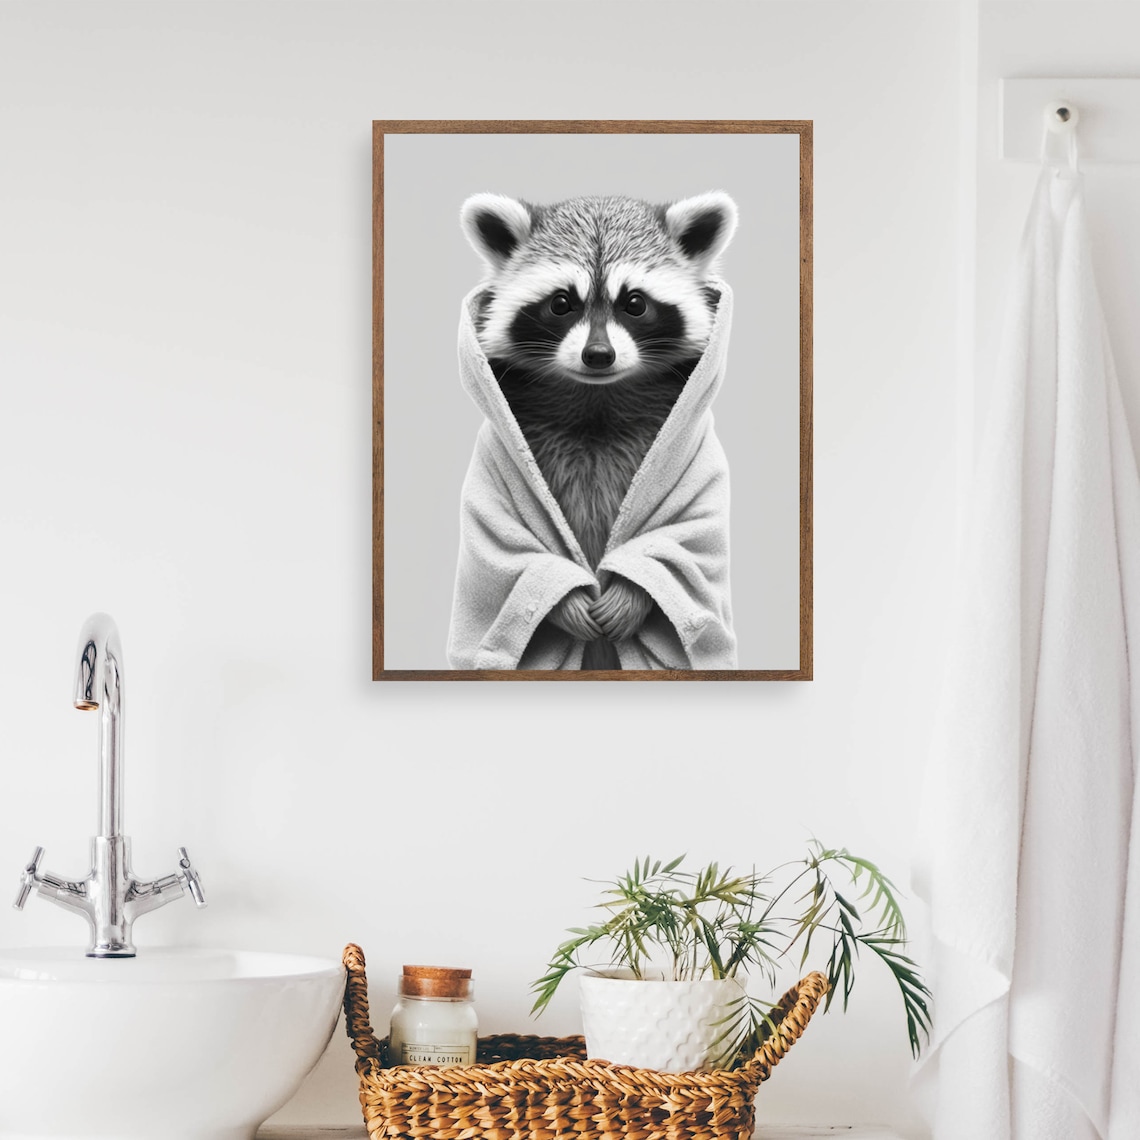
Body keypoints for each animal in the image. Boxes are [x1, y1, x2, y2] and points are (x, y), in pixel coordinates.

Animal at [460, 191, 737, 668]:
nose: (598, 355)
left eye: (635, 303)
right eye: (561, 302)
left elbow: (685, 532)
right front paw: (566, 603)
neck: (597, 397)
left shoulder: (694, 458)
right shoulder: (497, 462)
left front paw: (630, 595)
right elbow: (507, 543)